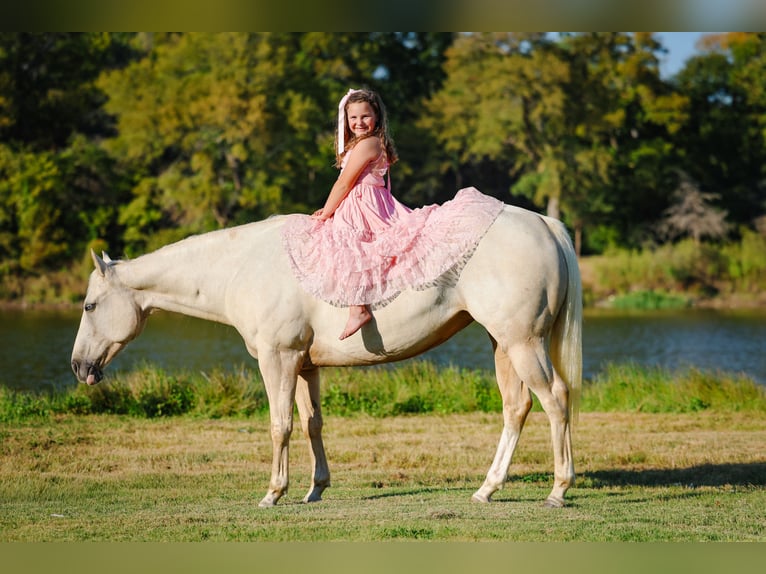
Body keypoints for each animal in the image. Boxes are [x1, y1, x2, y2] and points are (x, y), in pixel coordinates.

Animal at [71, 203, 582, 508]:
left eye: (89, 305)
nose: (78, 367)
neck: (242, 266)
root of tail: (545, 223)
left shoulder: (277, 360)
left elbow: (280, 426)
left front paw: (274, 493)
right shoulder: (304, 365)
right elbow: (312, 424)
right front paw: (315, 489)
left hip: (522, 343)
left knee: (555, 400)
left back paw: (559, 489)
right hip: (504, 346)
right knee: (516, 408)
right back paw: (487, 489)